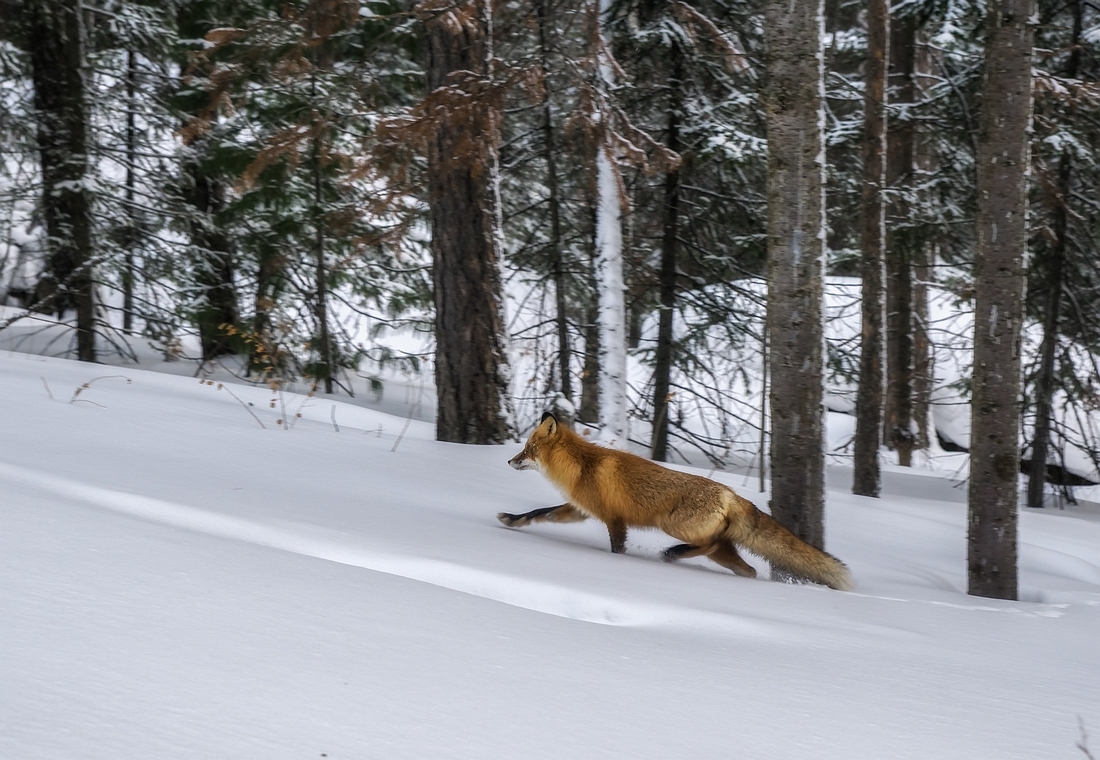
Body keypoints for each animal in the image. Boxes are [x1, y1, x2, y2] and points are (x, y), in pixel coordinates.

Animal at [499, 413, 849, 589]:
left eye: (527, 449)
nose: (509, 461)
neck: (582, 466)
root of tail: (731, 493)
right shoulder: (579, 510)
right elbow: (539, 512)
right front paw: (512, 520)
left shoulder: (614, 520)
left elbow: (616, 549)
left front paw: (617, 565)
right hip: (722, 549)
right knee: (744, 567)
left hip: (675, 525)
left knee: (708, 544)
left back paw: (672, 554)